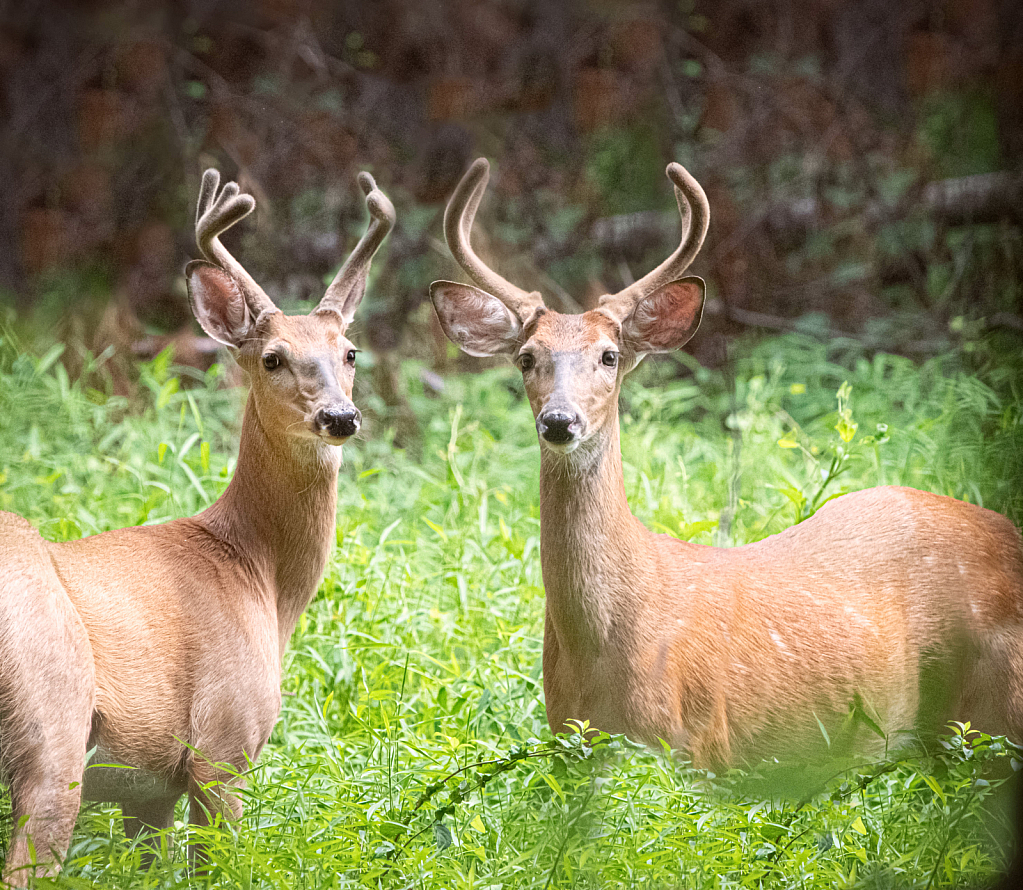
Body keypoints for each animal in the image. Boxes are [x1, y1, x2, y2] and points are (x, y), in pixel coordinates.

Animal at [0, 167, 394, 883]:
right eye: (272, 358)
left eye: (350, 351)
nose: (340, 417)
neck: (256, 571)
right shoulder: (223, 745)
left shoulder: (150, 784)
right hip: (53, 727)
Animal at [429, 160, 1023, 773]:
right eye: (527, 358)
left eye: (609, 356)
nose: (559, 420)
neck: (602, 646)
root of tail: (1010, 530)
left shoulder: (698, 748)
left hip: (999, 707)